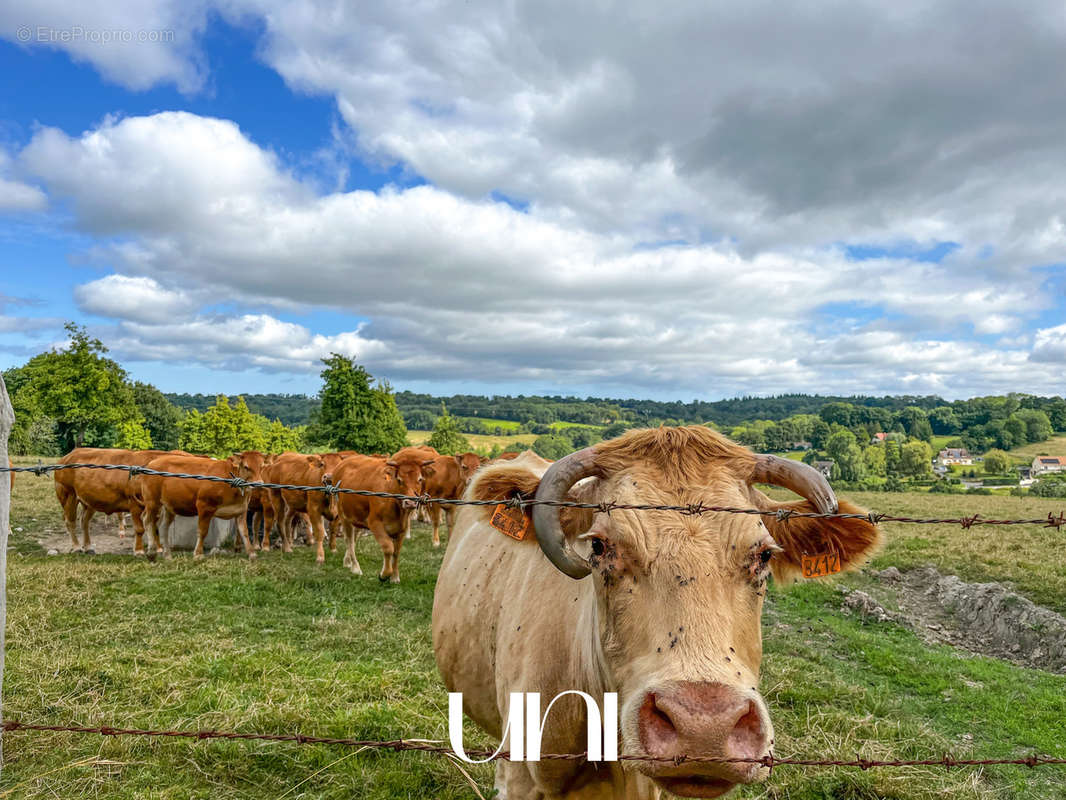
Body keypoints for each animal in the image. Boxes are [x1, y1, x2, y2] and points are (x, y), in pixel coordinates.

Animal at [332, 452, 432, 584]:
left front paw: (395, 577)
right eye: (399, 480)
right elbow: (388, 548)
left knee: (354, 538)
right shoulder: (375, 523)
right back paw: (355, 567)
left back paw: (347, 562)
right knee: (349, 540)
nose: (410, 502)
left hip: (357, 518)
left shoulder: (402, 528)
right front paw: (384, 574)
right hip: (344, 516)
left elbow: (396, 552)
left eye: (420, 479)